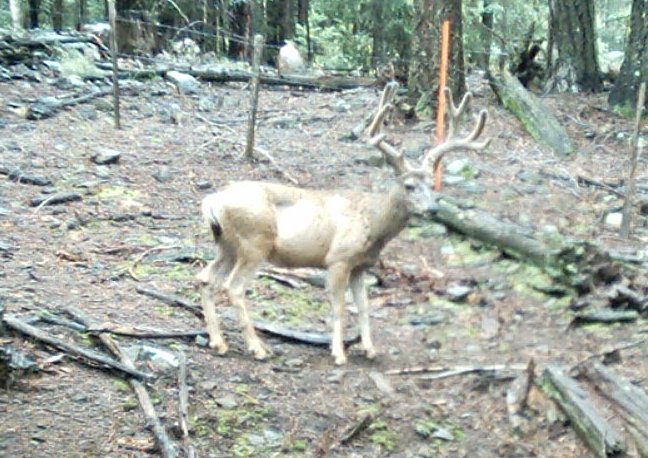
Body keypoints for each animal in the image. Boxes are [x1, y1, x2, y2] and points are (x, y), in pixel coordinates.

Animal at [196, 82, 490, 365]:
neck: (373, 223)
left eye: (432, 185)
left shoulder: (361, 265)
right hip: (254, 242)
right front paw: (338, 353)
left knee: (205, 278)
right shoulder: (338, 259)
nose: (433, 208)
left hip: (227, 245)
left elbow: (364, 306)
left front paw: (370, 349)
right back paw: (257, 348)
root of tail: (212, 201)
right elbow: (339, 307)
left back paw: (219, 343)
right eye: (409, 186)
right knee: (234, 287)